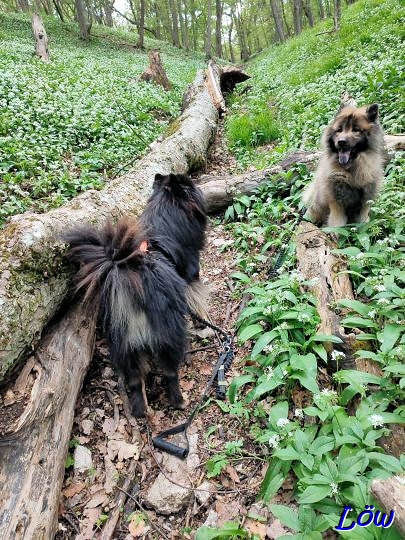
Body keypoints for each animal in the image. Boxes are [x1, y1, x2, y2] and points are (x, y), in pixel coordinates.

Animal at [65, 174, 208, 418]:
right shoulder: (191, 276)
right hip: (166, 339)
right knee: (170, 374)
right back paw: (179, 401)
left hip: (124, 347)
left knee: (134, 381)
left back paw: (140, 411)